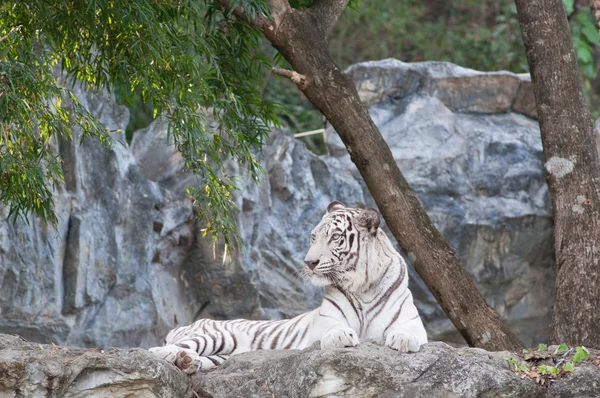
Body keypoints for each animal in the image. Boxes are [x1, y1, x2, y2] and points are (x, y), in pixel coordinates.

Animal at [149, 202, 426, 374]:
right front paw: (340, 336)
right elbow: (334, 327)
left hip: (224, 354)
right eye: (314, 237)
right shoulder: (324, 321)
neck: (363, 286)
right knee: (166, 347)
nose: (309, 262)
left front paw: (403, 340)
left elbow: (410, 331)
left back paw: (187, 363)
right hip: (216, 335)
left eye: (335, 237)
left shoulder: (411, 320)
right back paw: (168, 355)